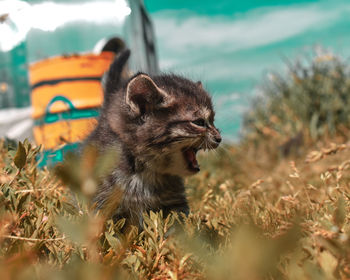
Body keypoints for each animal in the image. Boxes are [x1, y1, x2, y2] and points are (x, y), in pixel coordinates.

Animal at [85, 48, 221, 228]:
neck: (144, 172)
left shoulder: (174, 204)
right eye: (199, 122)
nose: (219, 137)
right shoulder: (102, 202)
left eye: (212, 120)